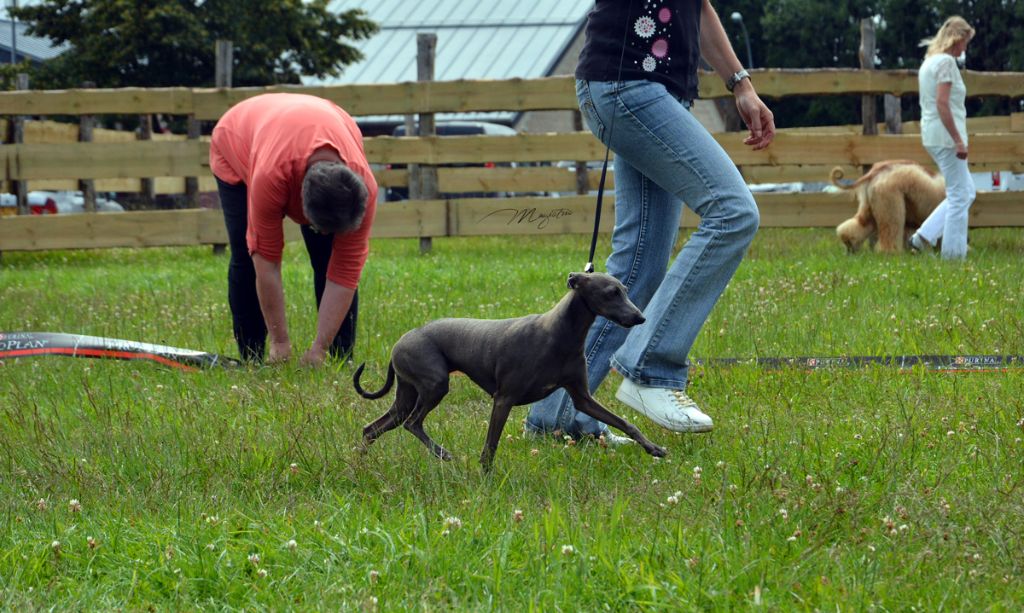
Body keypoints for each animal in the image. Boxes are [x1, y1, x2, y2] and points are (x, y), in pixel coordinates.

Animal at [354, 272, 671, 470]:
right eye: (610, 293)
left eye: (625, 291)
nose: (640, 317)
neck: (559, 333)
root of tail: (398, 343)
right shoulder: (503, 399)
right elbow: (490, 447)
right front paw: (486, 477)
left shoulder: (582, 398)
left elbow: (624, 422)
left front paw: (653, 448)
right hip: (435, 384)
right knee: (412, 423)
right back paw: (442, 453)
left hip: (407, 394)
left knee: (373, 428)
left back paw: (361, 462)